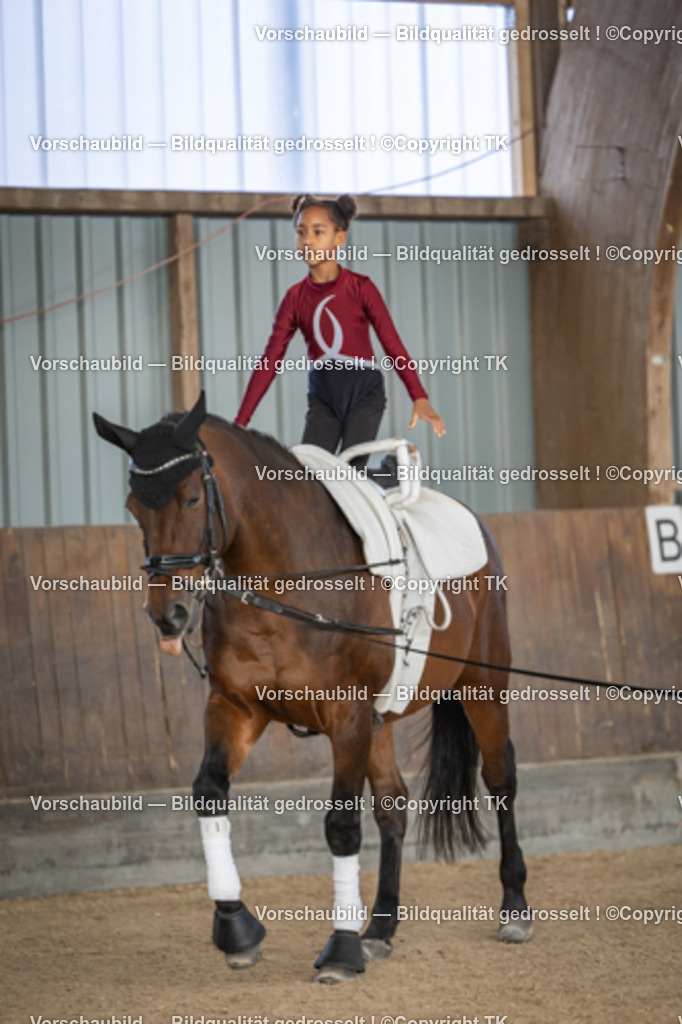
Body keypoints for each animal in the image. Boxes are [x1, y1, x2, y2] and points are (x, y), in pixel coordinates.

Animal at [93, 391, 531, 983]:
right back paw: (380, 929)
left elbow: (341, 825)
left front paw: (340, 951)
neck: (284, 579)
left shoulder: (345, 716)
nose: (169, 615)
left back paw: (514, 910)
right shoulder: (236, 706)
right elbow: (209, 793)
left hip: (483, 685)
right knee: (394, 805)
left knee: (500, 779)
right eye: (133, 506)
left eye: (191, 499)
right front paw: (236, 930)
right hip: (380, 720)